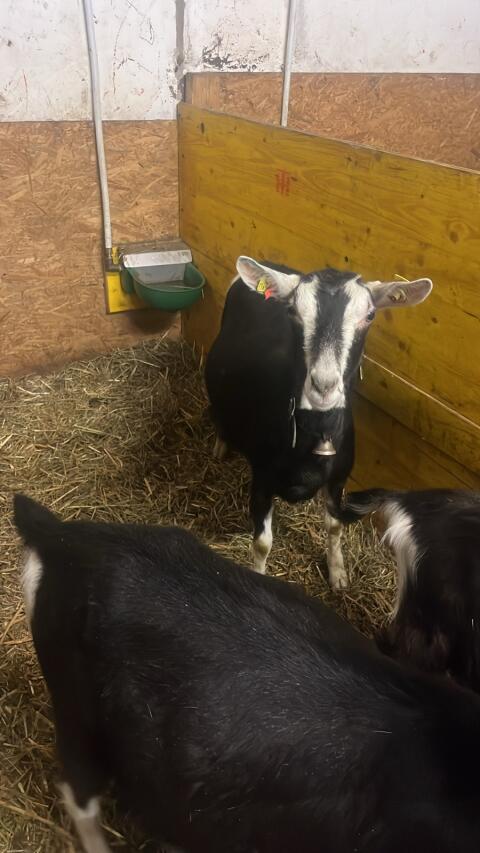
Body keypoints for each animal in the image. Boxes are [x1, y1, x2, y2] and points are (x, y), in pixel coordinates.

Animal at [205, 257, 432, 587]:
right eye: (292, 311)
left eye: (370, 315)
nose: (324, 387)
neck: (316, 432)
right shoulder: (262, 479)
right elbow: (262, 543)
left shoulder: (339, 479)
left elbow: (335, 526)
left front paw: (338, 573)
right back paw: (220, 446)